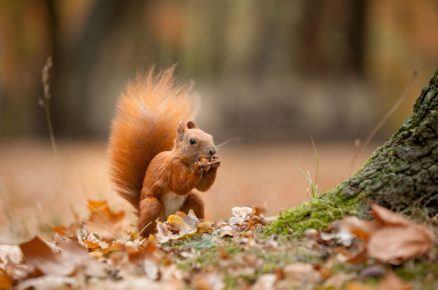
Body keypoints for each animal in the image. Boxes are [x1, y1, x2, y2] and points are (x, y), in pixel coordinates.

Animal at [108, 69, 221, 237]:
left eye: (211, 136)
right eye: (192, 141)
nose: (212, 151)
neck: (185, 161)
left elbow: (203, 188)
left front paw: (215, 164)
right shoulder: (171, 167)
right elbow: (179, 185)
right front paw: (197, 168)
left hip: (192, 202)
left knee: (196, 200)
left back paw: (200, 224)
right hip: (152, 206)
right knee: (147, 225)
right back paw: (150, 235)